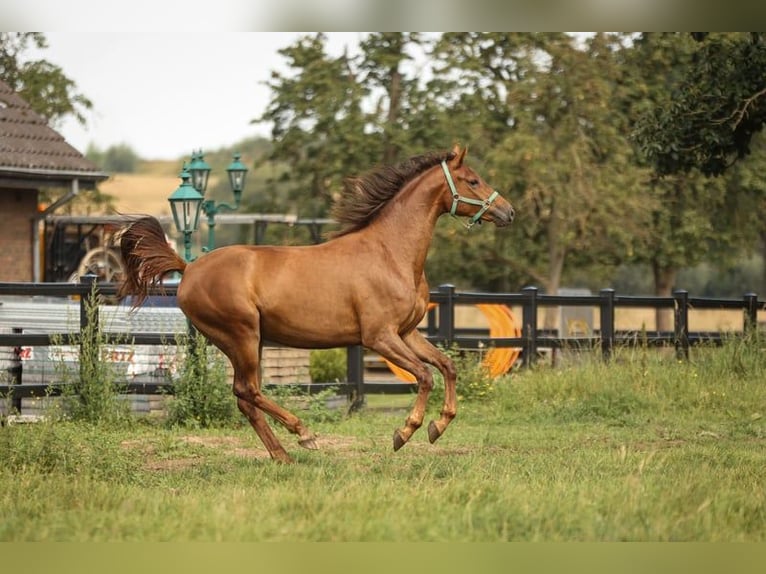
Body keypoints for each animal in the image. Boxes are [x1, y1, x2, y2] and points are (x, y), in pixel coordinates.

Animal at [118, 146, 516, 466]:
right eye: (473, 180)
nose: (509, 212)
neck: (390, 253)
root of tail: (188, 268)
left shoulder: (406, 332)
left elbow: (447, 366)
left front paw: (438, 425)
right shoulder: (379, 337)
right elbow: (424, 375)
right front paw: (405, 432)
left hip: (248, 342)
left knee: (245, 398)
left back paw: (283, 455)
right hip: (241, 336)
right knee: (249, 391)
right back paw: (304, 434)